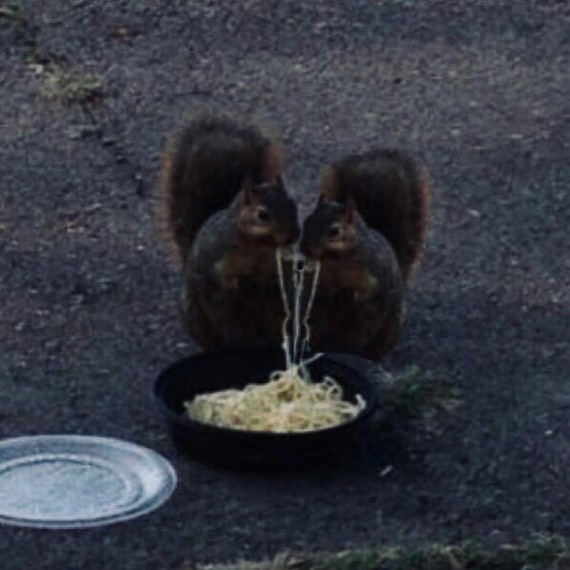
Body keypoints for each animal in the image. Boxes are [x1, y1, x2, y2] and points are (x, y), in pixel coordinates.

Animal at [158, 114, 300, 346]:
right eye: (263, 215)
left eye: (293, 204)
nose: (293, 235)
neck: (259, 245)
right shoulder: (217, 253)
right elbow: (219, 276)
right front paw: (232, 285)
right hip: (197, 316)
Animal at [300, 148, 428, 360]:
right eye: (306, 221)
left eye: (334, 231)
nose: (304, 249)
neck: (335, 260)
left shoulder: (374, 268)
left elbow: (372, 288)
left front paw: (359, 296)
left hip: (388, 328)